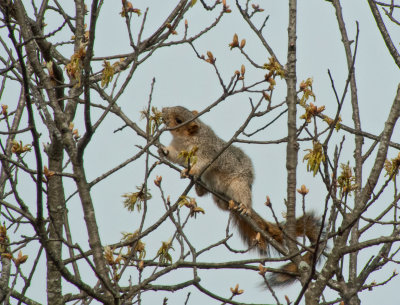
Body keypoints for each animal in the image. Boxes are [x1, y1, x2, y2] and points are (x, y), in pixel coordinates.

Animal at [159, 105, 322, 284]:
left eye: (179, 120)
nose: (163, 111)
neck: (185, 139)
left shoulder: (208, 152)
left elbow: (202, 164)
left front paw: (190, 170)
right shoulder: (179, 150)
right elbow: (174, 155)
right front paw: (164, 150)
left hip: (239, 185)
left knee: (244, 198)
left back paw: (244, 207)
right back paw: (200, 189)